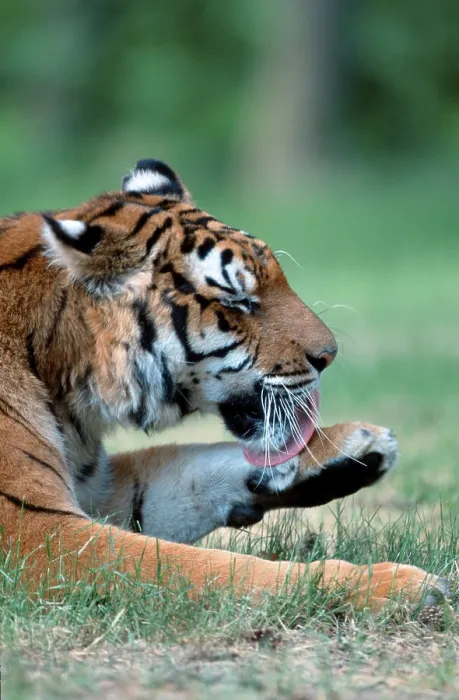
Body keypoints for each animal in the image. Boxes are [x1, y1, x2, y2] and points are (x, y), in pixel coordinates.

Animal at [0, 158, 447, 609]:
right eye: (239, 301)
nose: (328, 355)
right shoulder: (35, 532)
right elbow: (210, 568)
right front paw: (394, 583)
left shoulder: (101, 487)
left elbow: (190, 462)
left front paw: (352, 445)